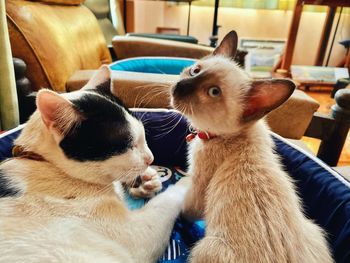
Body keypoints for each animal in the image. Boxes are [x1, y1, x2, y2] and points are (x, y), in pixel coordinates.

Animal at [0, 66, 189, 263]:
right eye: (127, 144)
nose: (150, 158)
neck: (47, 165)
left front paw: (147, 180)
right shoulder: (138, 235)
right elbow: (167, 199)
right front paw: (189, 180)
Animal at [170, 31, 334, 263]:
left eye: (213, 92)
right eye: (195, 71)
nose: (178, 87)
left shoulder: (198, 188)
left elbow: (186, 208)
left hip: (205, 248)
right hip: (314, 230)